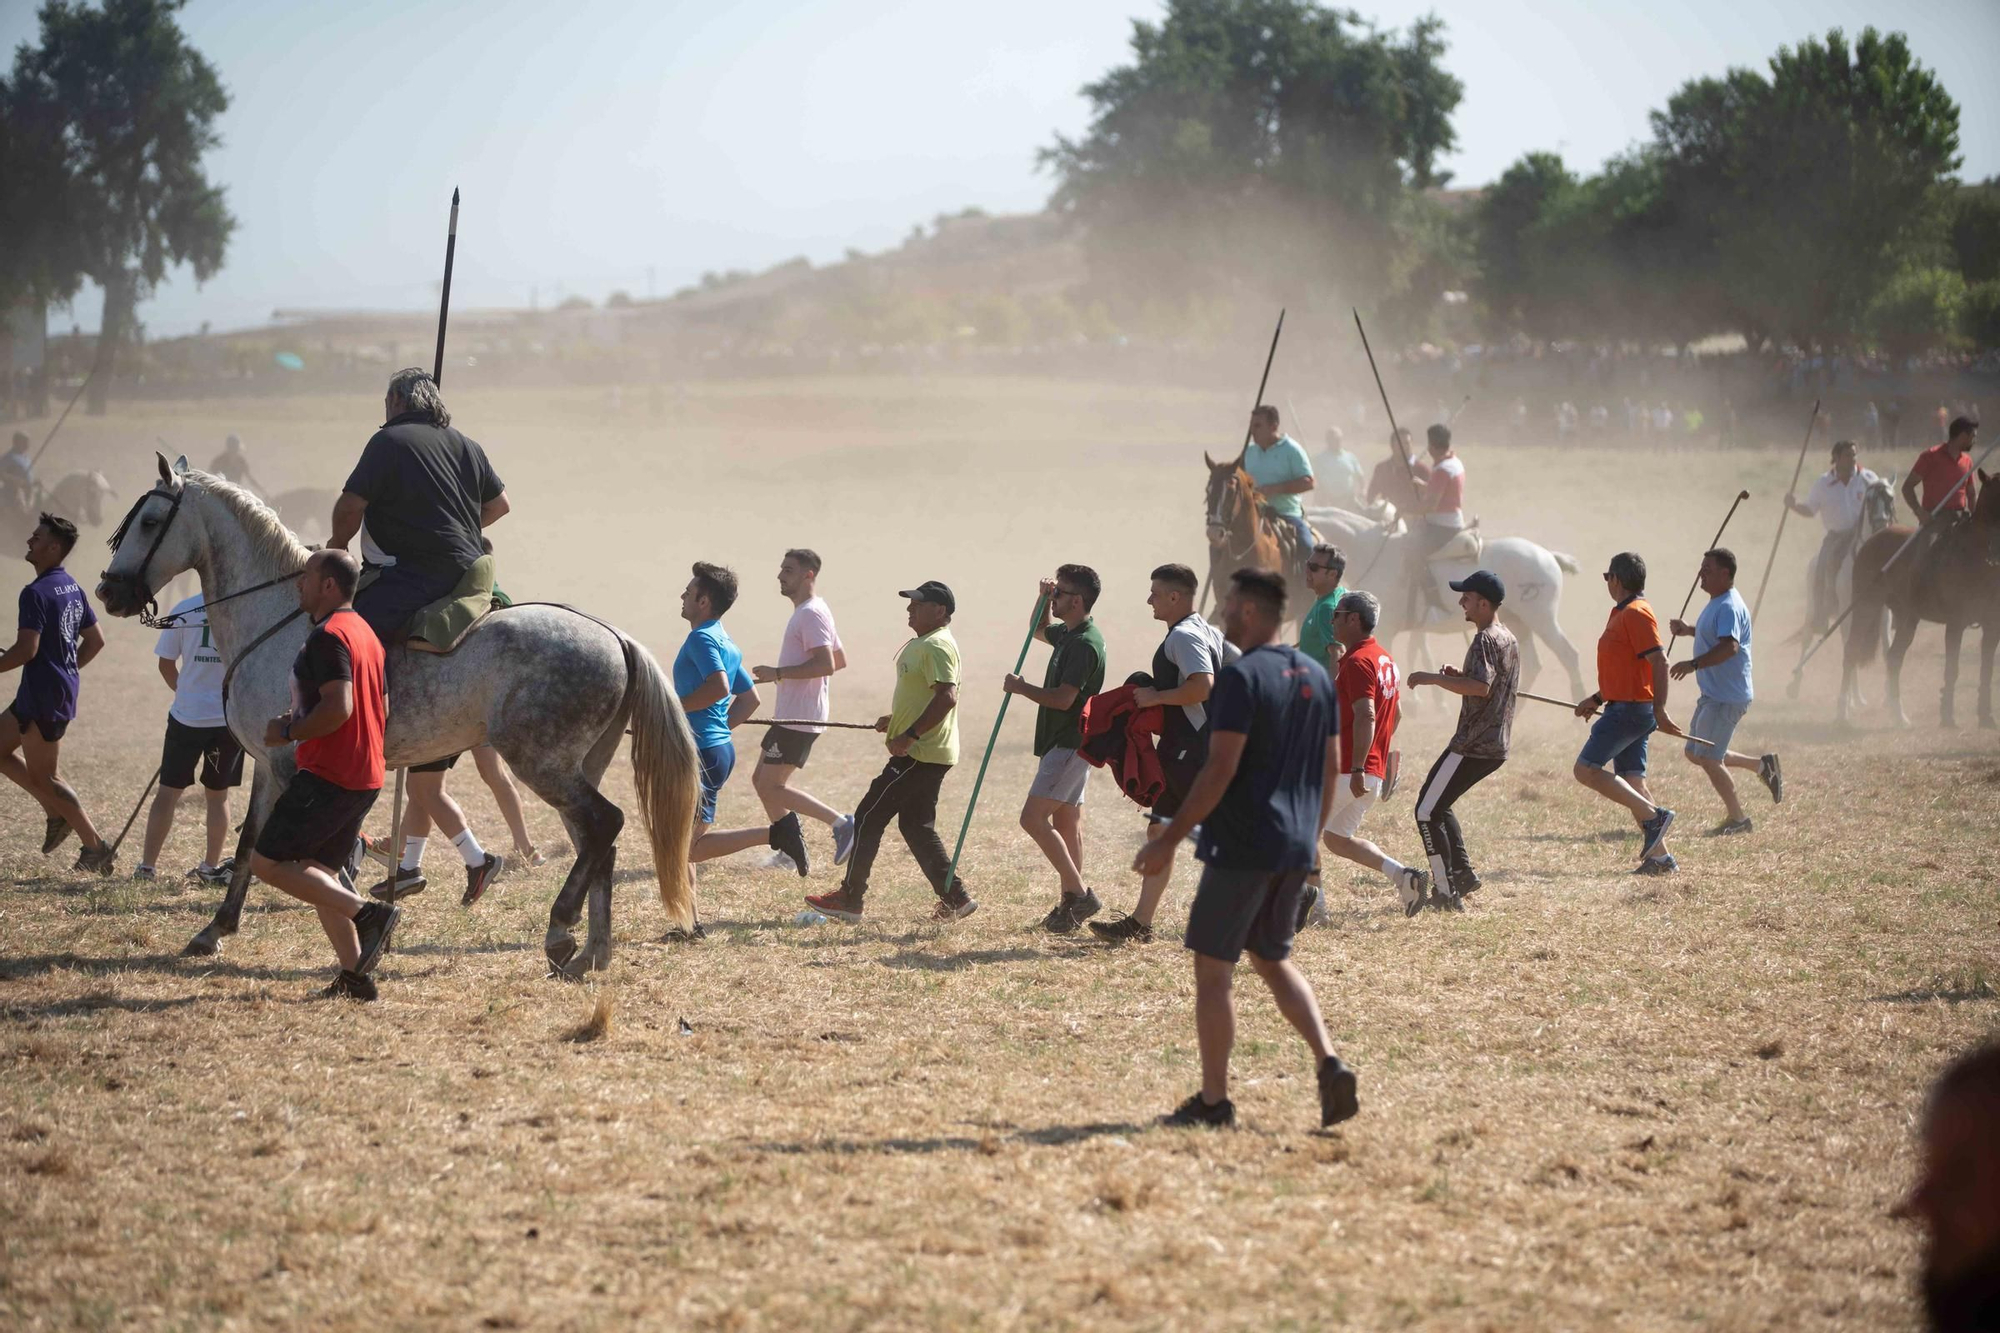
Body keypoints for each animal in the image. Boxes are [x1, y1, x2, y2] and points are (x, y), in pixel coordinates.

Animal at [99, 456, 704, 976]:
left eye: (149, 521)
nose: (108, 590)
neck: (279, 616)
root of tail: (613, 634)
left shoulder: (294, 768)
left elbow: (314, 855)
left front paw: (363, 923)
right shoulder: (272, 768)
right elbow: (251, 846)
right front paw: (216, 929)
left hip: (541, 762)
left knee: (605, 824)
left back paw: (561, 929)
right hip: (578, 766)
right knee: (596, 842)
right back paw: (593, 950)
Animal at [1312, 506, 1592, 700]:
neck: (1372, 553)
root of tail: (1548, 555)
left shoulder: (1386, 629)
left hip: (1541, 619)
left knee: (1568, 655)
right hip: (1518, 622)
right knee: (1533, 665)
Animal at [1840, 470, 2000, 728]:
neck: (1976, 556)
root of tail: (1871, 541)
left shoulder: (1992, 626)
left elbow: (1986, 670)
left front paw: (1986, 716)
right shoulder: (1955, 624)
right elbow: (1952, 669)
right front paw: (1947, 716)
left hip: (1906, 617)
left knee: (1894, 658)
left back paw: (1899, 716)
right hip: (1866, 606)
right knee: (1851, 651)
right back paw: (1841, 713)